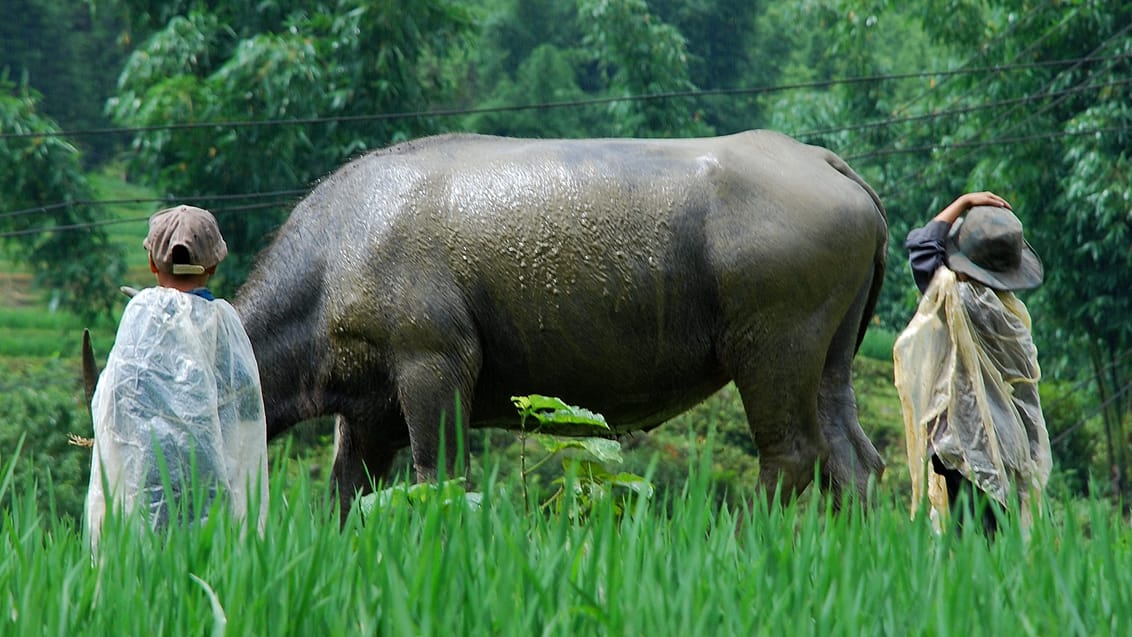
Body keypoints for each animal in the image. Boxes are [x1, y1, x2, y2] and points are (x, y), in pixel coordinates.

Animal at [238, 130, 887, 513]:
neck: (336, 252)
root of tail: (821, 158)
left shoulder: (433, 368)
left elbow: (439, 476)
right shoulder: (366, 416)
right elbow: (343, 496)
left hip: (773, 353)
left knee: (792, 456)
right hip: (830, 364)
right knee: (853, 460)